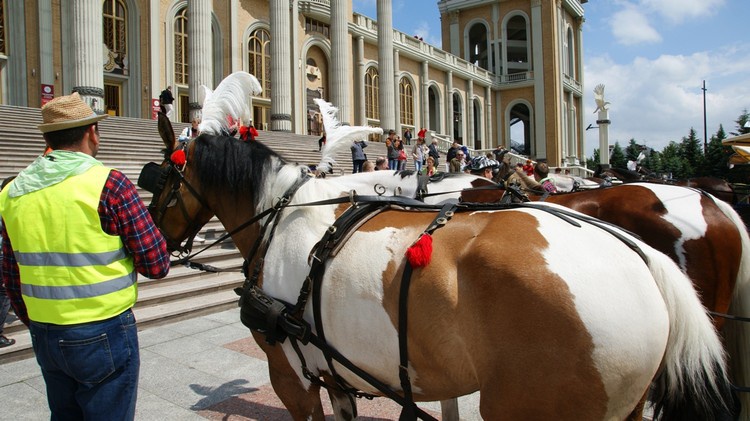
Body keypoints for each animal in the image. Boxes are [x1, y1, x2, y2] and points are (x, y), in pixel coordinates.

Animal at [140, 123, 736, 418]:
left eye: (162, 182)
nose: (155, 247)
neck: (281, 216)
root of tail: (642, 258)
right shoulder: (335, 373)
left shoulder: (291, 374)